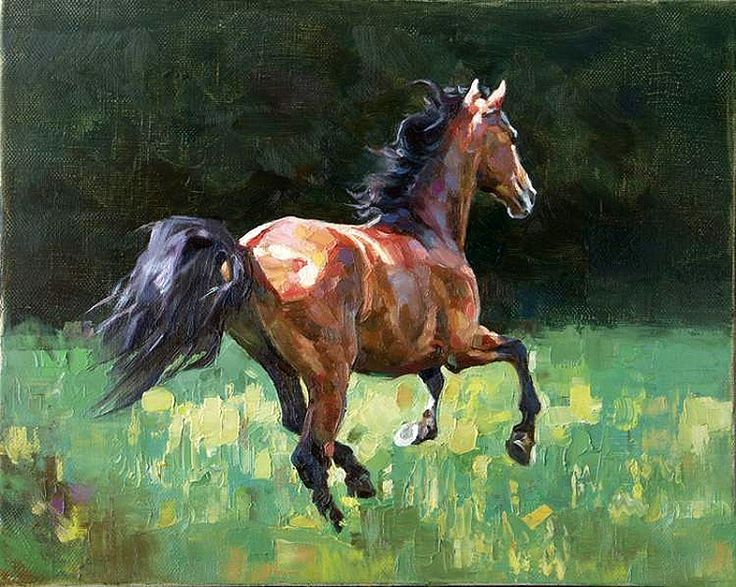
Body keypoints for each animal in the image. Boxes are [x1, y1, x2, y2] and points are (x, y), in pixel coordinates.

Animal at [91, 78, 541, 532]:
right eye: (511, 135)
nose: (528, 196)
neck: (426, 232)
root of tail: (249, 252)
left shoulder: (422, 352)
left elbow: (436, 383)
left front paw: (416, 431)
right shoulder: (462, 346)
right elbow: (517, 353)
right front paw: (520, 442)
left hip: (277, 363)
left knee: (298, 425)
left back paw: (359, 479)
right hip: (331, 375)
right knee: (309, 452)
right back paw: (344, 525)